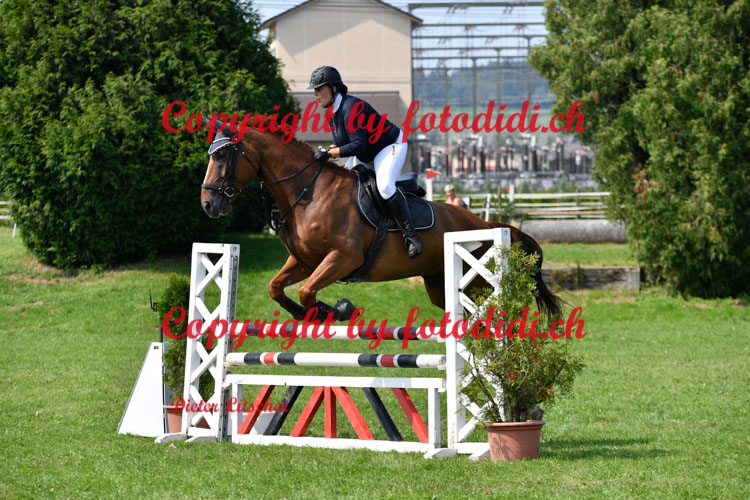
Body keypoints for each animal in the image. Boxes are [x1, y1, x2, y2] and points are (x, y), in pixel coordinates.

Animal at [200, 125, 563, 323]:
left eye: (222, 156)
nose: (208, 205)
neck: (309, 192)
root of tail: (483, 221)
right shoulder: (305, 261)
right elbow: (277, 288)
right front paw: (310, 314)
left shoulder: (343, 258)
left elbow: (306, 291)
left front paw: (338, 310)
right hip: (441, 285)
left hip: (476, 283)